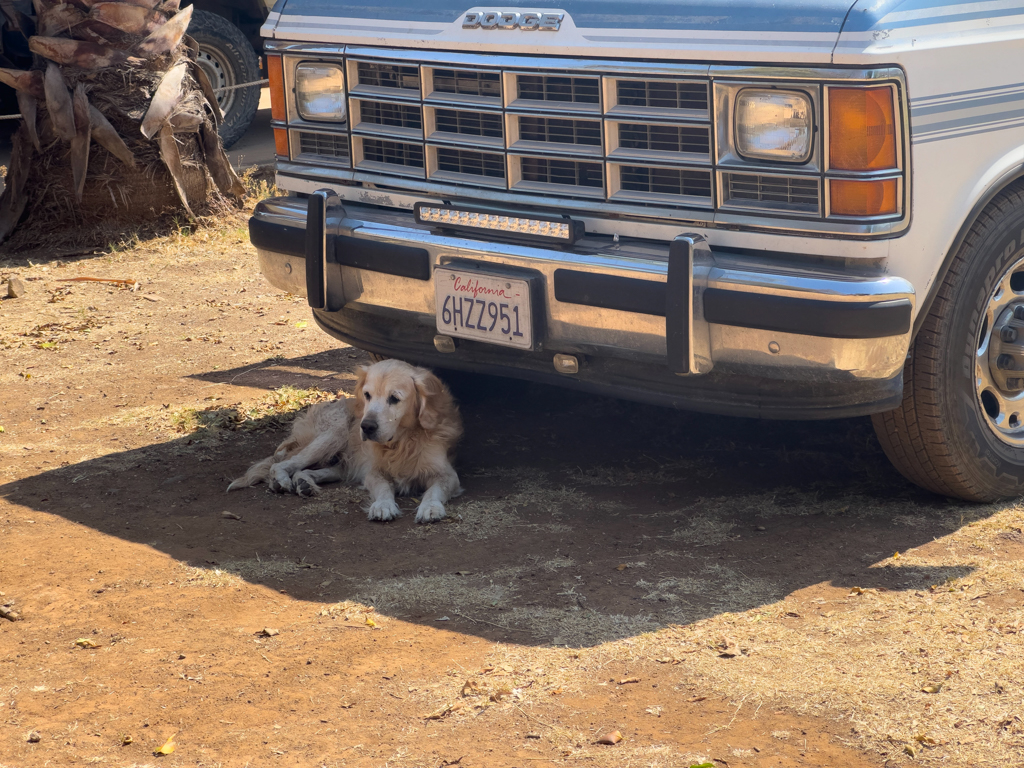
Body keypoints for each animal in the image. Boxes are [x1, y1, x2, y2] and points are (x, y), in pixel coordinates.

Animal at [229, 360, 464, 524]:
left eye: (394, 398)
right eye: (367, 395)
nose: (366, 426)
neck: (403, 442)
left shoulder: (447, 474)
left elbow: (433, 491)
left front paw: (430, 507)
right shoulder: (374, 472)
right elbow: (383, 488)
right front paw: (382, 506)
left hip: (340, 459)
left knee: (310, 470)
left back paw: (304, 483)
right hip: (333, 433)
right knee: (283, 464)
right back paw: (281, 481)